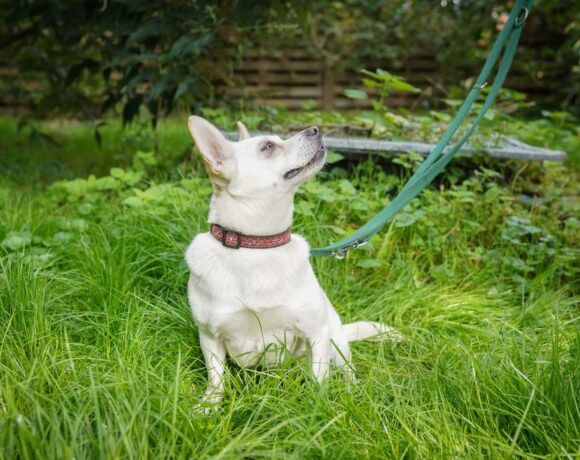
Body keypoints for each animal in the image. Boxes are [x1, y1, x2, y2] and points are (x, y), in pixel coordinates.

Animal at [184, 116, 402, 406]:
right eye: (268, 146)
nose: (316, 129)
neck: (256, 246)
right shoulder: (210, 338)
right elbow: (216, 379)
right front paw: (208, 406)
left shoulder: (316, 334)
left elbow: (318, 377)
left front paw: (317, 406)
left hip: (335, 341)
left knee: (346, 371)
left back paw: (351, 391)